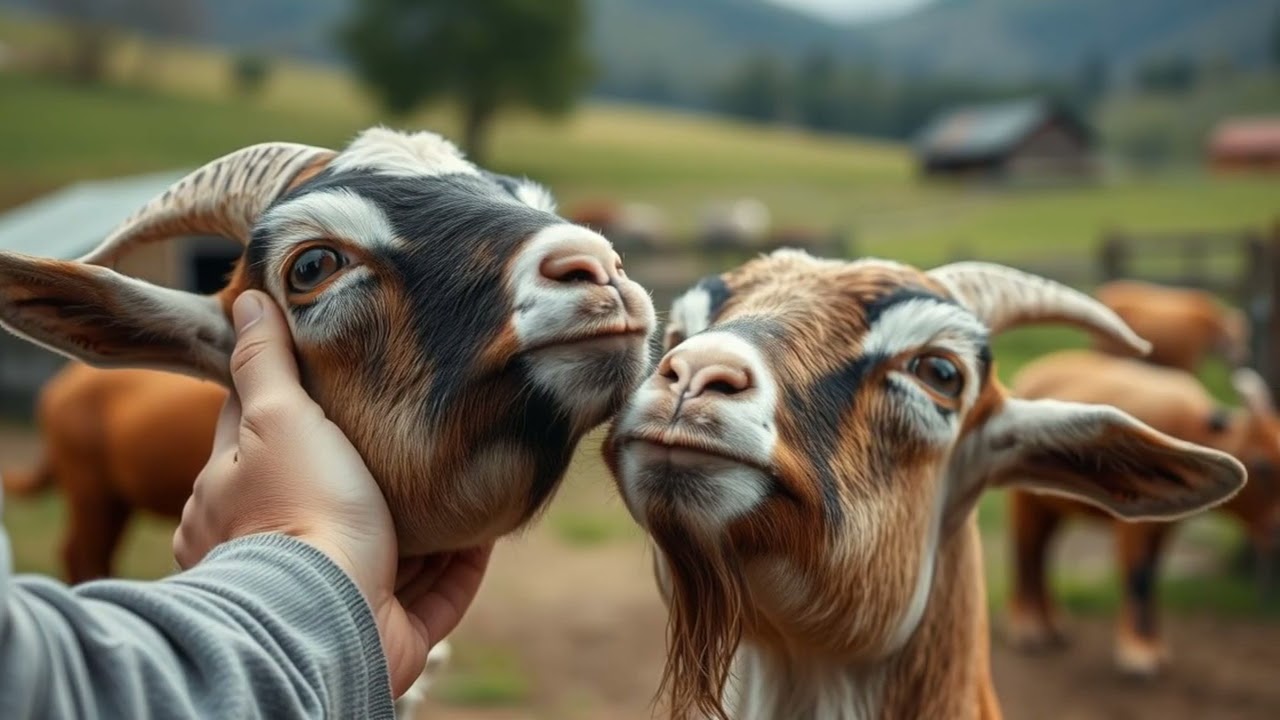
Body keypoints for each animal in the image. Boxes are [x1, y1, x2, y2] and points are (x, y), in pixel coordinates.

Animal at [1005, 349, 1280, 677]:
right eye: (1262, 465)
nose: (1276, 531)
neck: (1190, 428)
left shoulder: (1165, 527)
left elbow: (1153, 573)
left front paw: (1154, 646)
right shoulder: (1133, 525)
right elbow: (1138, 576)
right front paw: (1136, 653)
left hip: (1052, 507)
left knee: (1043, 552)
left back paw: (1055, 625)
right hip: (1025, 501)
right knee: (1027, 551)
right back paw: (1027, 629)